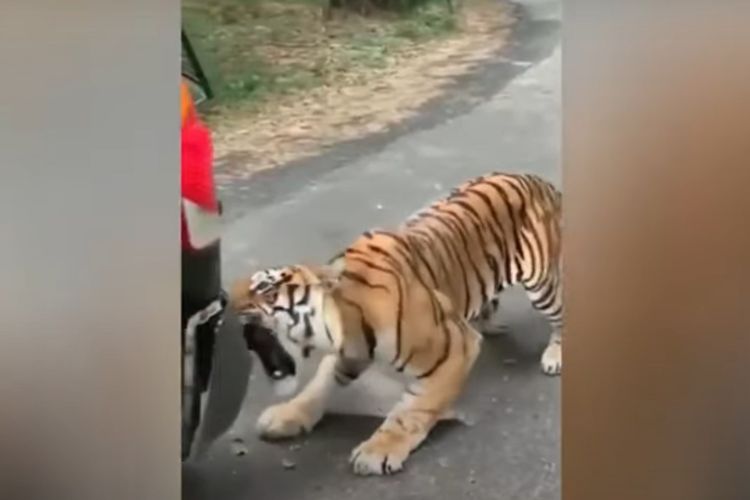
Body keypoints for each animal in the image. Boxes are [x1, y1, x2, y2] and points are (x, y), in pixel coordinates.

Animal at [229, 172, 564, 476]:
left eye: (264, 288)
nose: (226, 300)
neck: (344, 322)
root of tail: (539, 181)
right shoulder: (348, 355)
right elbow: (318, 387)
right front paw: (287, 415)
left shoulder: (455, 347)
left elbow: (413, 409)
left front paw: (378, 451)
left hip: (542, 285)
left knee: (560, 316)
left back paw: (554, 355)